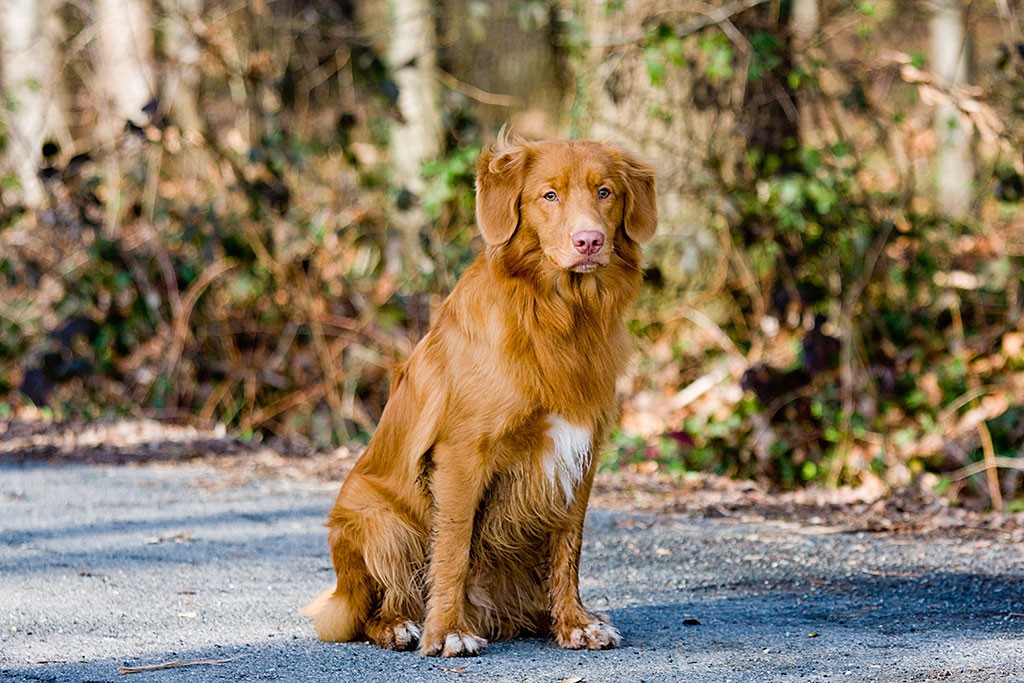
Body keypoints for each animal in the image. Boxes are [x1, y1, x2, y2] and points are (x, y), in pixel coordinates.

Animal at [303, 132, 655, 655]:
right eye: (549, 195)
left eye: (605, 192)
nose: (589, 241)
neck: (560, 316)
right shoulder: (461, 454)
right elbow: (452, 548)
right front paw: (447, 630)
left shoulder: (581, 454)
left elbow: (568, 548)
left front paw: (575, 623)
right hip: (374, 516)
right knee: (372, 608)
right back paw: (401, 626)